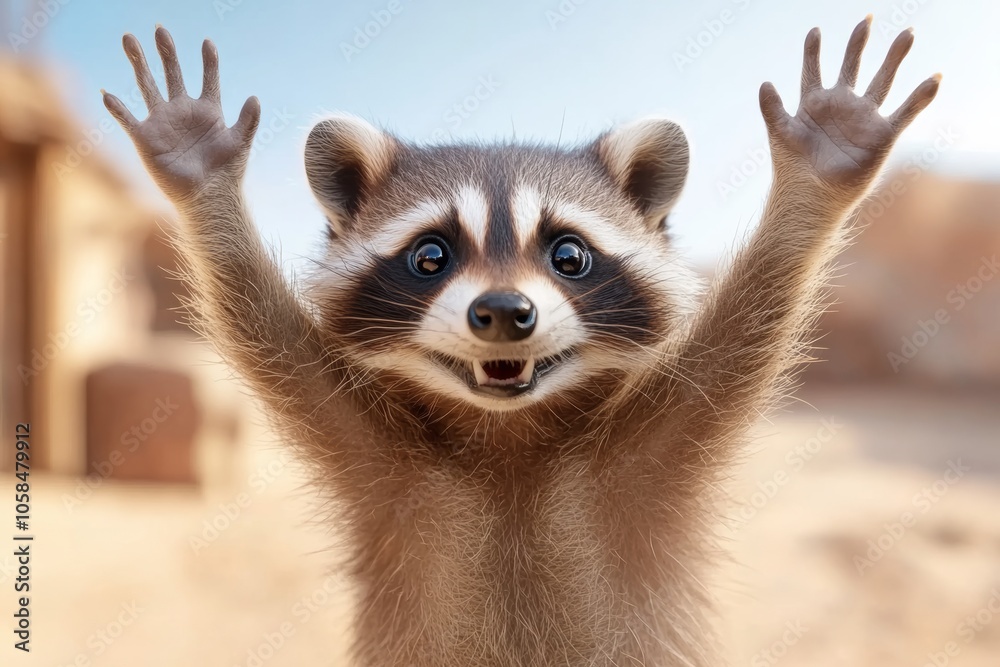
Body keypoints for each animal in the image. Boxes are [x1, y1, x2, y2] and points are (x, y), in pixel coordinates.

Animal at [103, 17, 939, 667]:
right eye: (431, 255)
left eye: (568, 254)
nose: (504, 311)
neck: (509, 443)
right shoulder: (377, 457)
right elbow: (264, 331)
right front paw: (203, 180)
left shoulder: (651, 453)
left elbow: (749, 323)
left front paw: (817, 178)